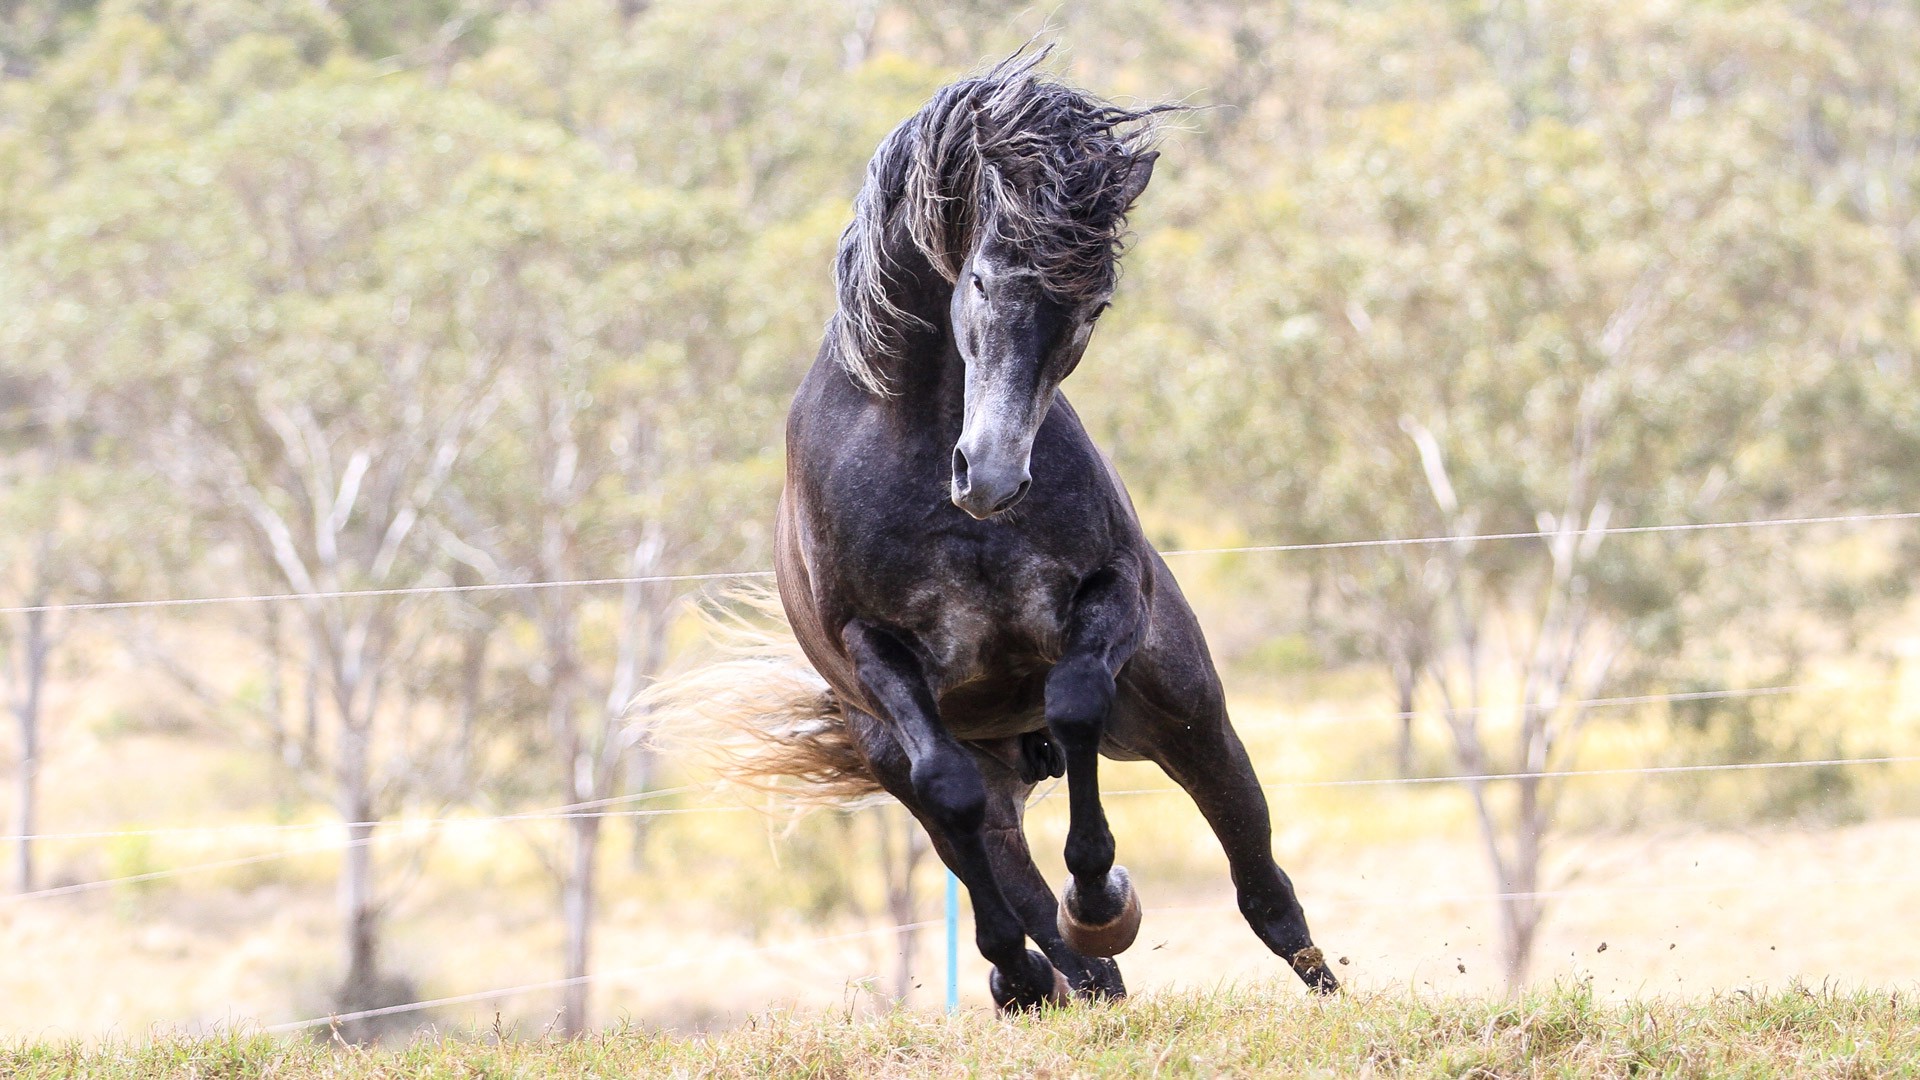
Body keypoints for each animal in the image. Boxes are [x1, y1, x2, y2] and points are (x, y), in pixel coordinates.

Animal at [664, 48, 1338, 1010]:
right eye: (979, 280)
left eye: (1092, 307)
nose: (987, 475)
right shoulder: (874, 650)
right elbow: (951, 798)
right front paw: (1024, 962)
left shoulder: (1109, 593)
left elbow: (1078, 698)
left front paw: (1101, 898)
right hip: (912, 754)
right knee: (1002, 867)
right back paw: (1046, 978)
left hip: (1185, 717)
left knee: (1259, 879)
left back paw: (1311, 979)